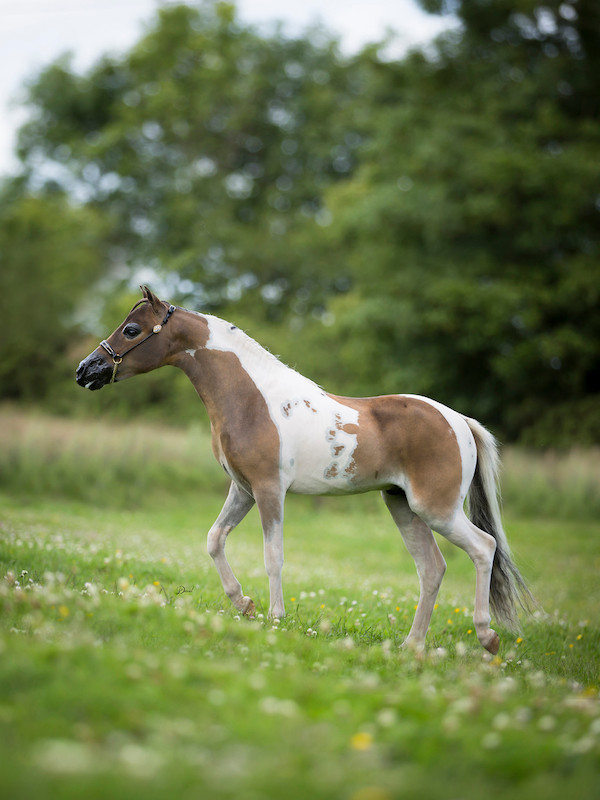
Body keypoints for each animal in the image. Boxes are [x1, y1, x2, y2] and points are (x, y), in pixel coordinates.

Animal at [76, 285, 533, 654]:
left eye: (131, 330)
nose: (85, 371)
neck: (252, 399)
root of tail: (460, 421)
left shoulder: (268, 490)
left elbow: (273, 556)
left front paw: (275, 619)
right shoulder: (242, 490)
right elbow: (214, 539)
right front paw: (245, 604)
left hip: (436, 510)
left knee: (484, 547)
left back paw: (487, 637)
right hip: (403, 506)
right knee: (432, 568)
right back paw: (411, 647)